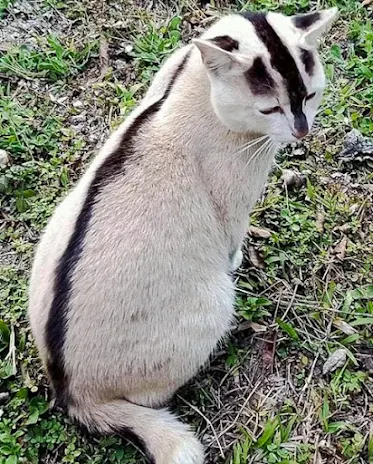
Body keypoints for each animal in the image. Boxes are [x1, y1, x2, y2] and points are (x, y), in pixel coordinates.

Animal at [28, 8, 338, 464]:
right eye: (270, 108)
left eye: (312, 96)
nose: (302, 131)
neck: (191, 80)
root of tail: (74, 394)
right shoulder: (233, 202)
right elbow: (232, 238)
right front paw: (237, 258)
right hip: (214, 305)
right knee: (151, 398)